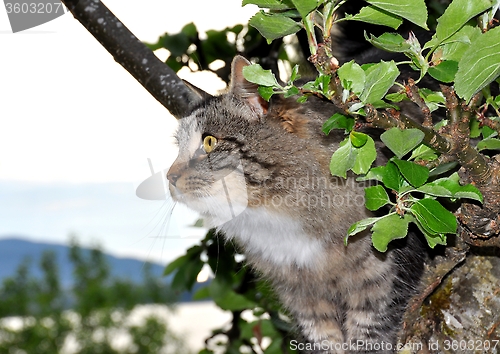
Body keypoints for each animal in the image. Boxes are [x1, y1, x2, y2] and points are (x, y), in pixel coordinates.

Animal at [166, 56, 424, 354]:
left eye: (209, 142)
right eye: (178, 147)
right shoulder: (303, 300)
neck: (278, 219)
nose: (169, 177)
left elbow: (369, 340)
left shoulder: (381, 284)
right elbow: (325, 344)